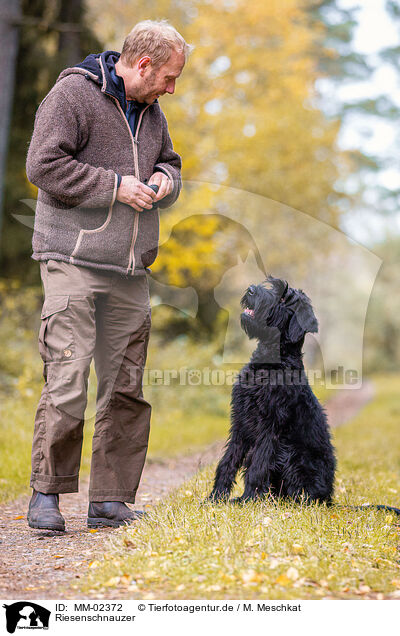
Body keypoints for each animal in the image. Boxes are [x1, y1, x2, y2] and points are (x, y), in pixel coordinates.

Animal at [209, 276, 338, 504]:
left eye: (284, 299)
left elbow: (257, 467)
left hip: (294, 454)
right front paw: (215, 497)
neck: (269, 363)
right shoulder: (241, 423)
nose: (251, 290)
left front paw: (247, 499)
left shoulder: (270, 428)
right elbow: (227, 461)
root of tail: (328, 499)